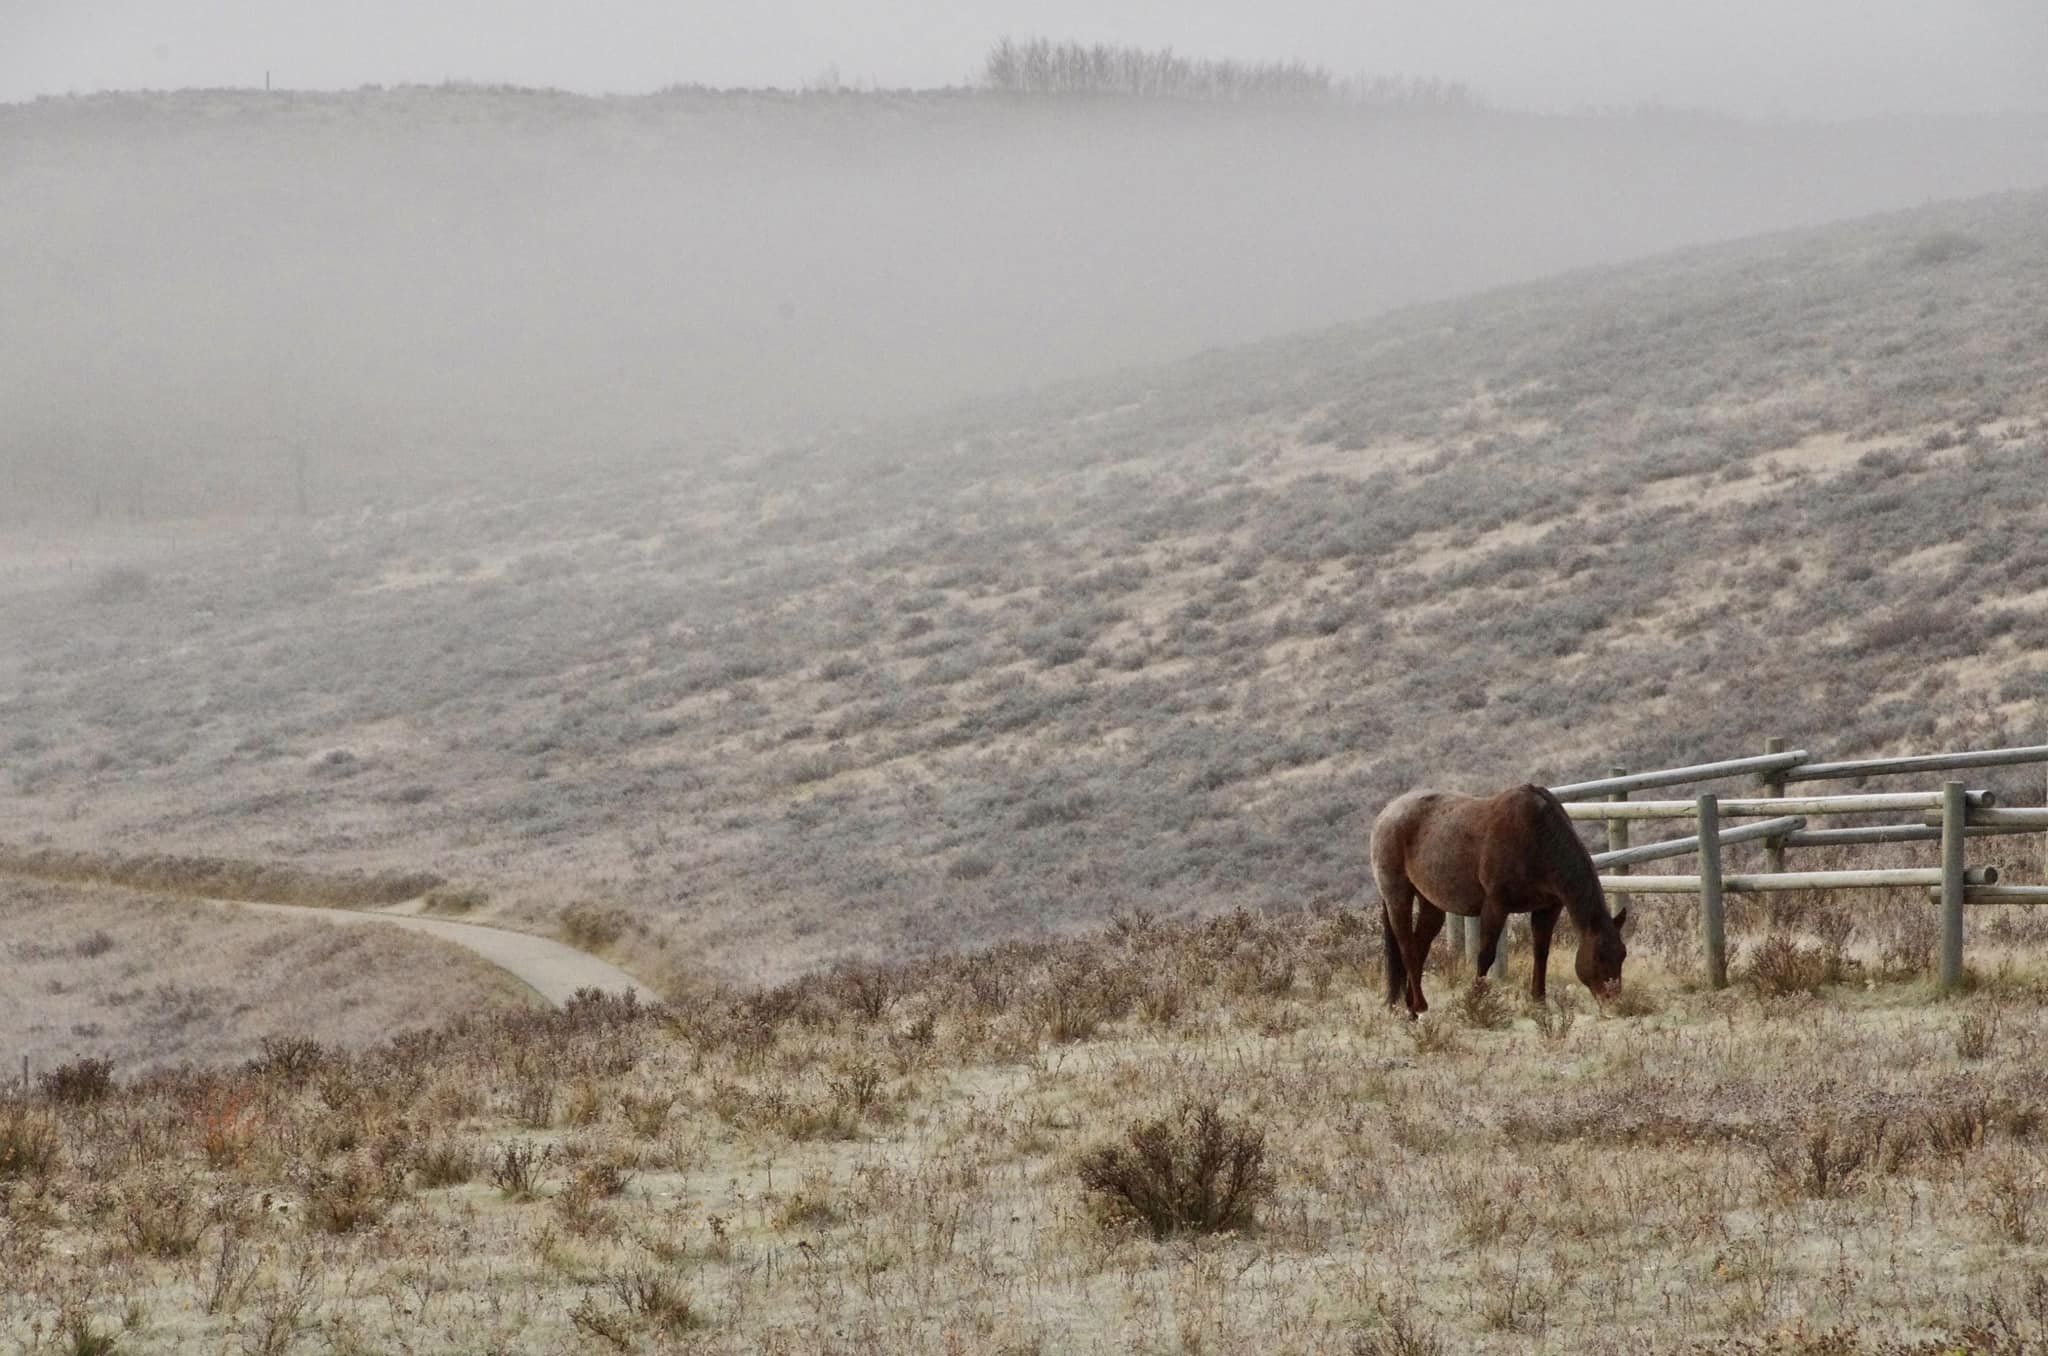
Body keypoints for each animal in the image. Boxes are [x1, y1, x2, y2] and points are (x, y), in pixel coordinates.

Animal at [1376, 786, 1630, 1020]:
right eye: (1598, 956)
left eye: (1622, 955)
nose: (1613, 1003)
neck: (1537, 837)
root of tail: (1387, 813)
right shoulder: (1496, 906)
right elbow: (1486, 955)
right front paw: (1476, 1001)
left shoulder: (1547, 908)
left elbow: (1541, 952)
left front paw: (1539, 1002)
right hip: (1398, 896)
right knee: (1407, 947)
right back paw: (1419, 1006)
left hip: (1430, 903)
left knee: (1419, 947)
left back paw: (1411, 1007)